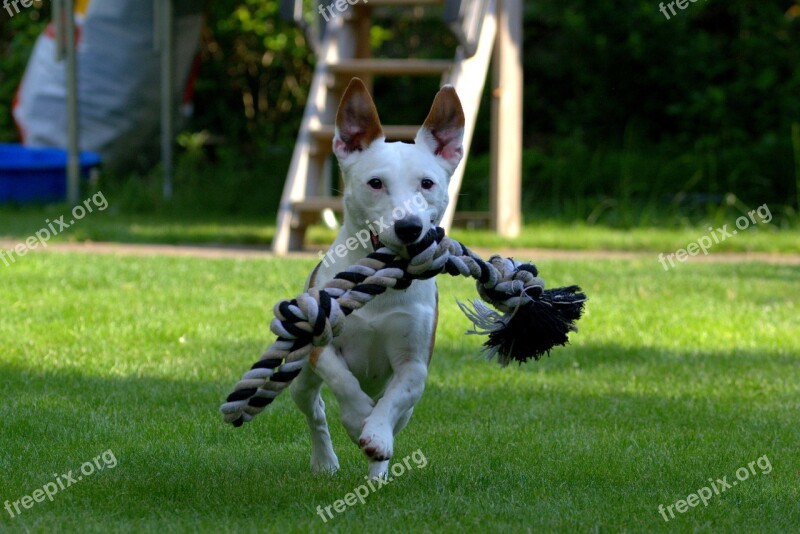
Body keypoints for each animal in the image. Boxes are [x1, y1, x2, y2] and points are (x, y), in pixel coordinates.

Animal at [290, 76, 466, 482]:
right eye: (375, 183)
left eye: (427, 183)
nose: (409, 227)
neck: (381, 288)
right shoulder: (323, 349)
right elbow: (343, 382)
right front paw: (358, 417)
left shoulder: (415, 363)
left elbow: (394, 400)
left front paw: (376, 434)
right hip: (300, 376)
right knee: (314, 409)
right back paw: (325, 460)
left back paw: (377, 472)